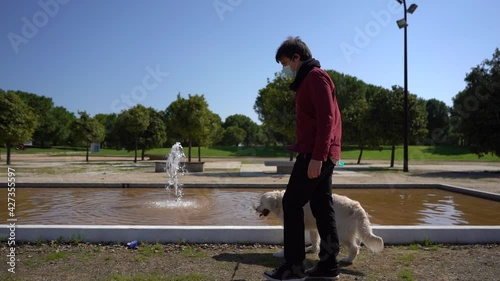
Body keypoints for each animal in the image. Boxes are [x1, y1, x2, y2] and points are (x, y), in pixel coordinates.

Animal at [256, 189, 384, 264]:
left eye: (261, 202)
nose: (256, 209)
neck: (281, 202)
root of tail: (356, 206)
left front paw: (281, 254)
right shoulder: (313, 228)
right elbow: (314, 239)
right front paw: (313, 249)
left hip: (342, 233)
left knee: (354, 247)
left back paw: (347, 260)